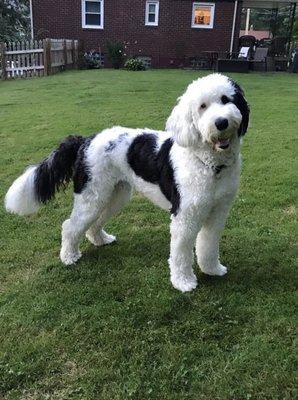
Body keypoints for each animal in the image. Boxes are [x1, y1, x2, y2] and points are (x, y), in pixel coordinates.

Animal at [5, 73, 250, 292]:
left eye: (226, 99)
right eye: (202, 106)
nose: (221, 122)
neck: (210, 165)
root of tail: (86, 140)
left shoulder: (218, 211)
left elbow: (208, 243)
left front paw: (212, 269)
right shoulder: (185, 216)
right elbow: (181, 252)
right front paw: (183, 282)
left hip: (114, 195)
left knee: (94, 223)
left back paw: (100, 239)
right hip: (91, 196)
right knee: (69, 226)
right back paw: (69, 256)